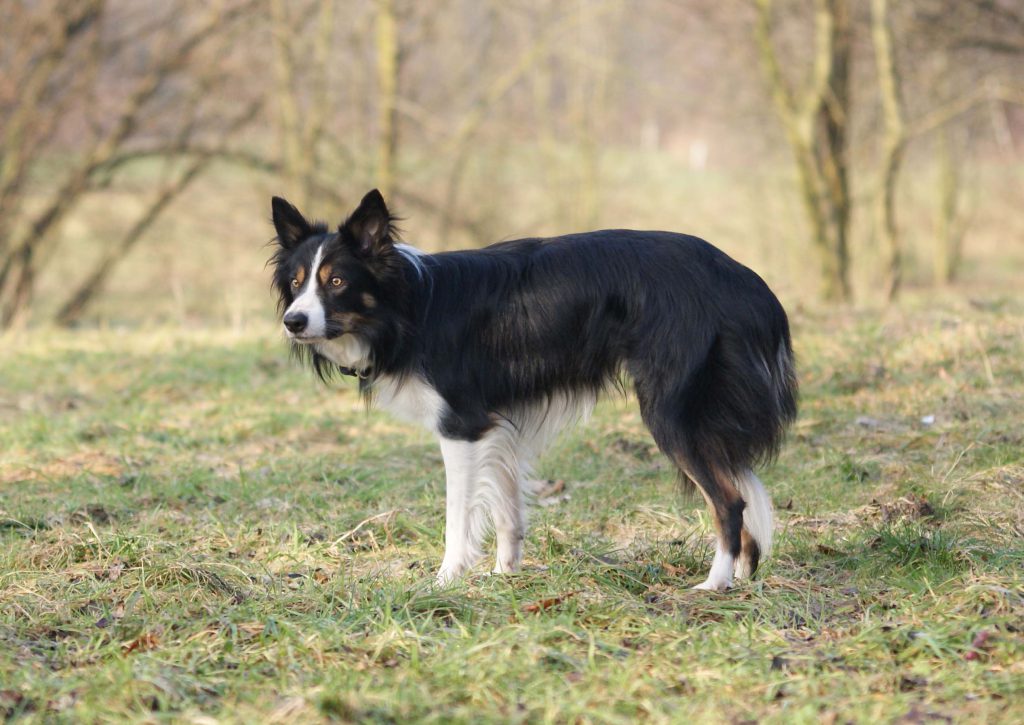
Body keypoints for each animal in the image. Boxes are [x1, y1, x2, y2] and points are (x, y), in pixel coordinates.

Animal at [268, 191, 794, 589]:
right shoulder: (499, 425)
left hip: (669, 412)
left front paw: (446, 580)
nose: (292, 322)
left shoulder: (461, 427)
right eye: (296, 283)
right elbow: (507, 512)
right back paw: (742, 577)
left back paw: (714, 582)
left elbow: (458, 515)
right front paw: (505, 576)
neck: (408, 307)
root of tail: (741, 278)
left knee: (729, 501)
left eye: (337, 281)